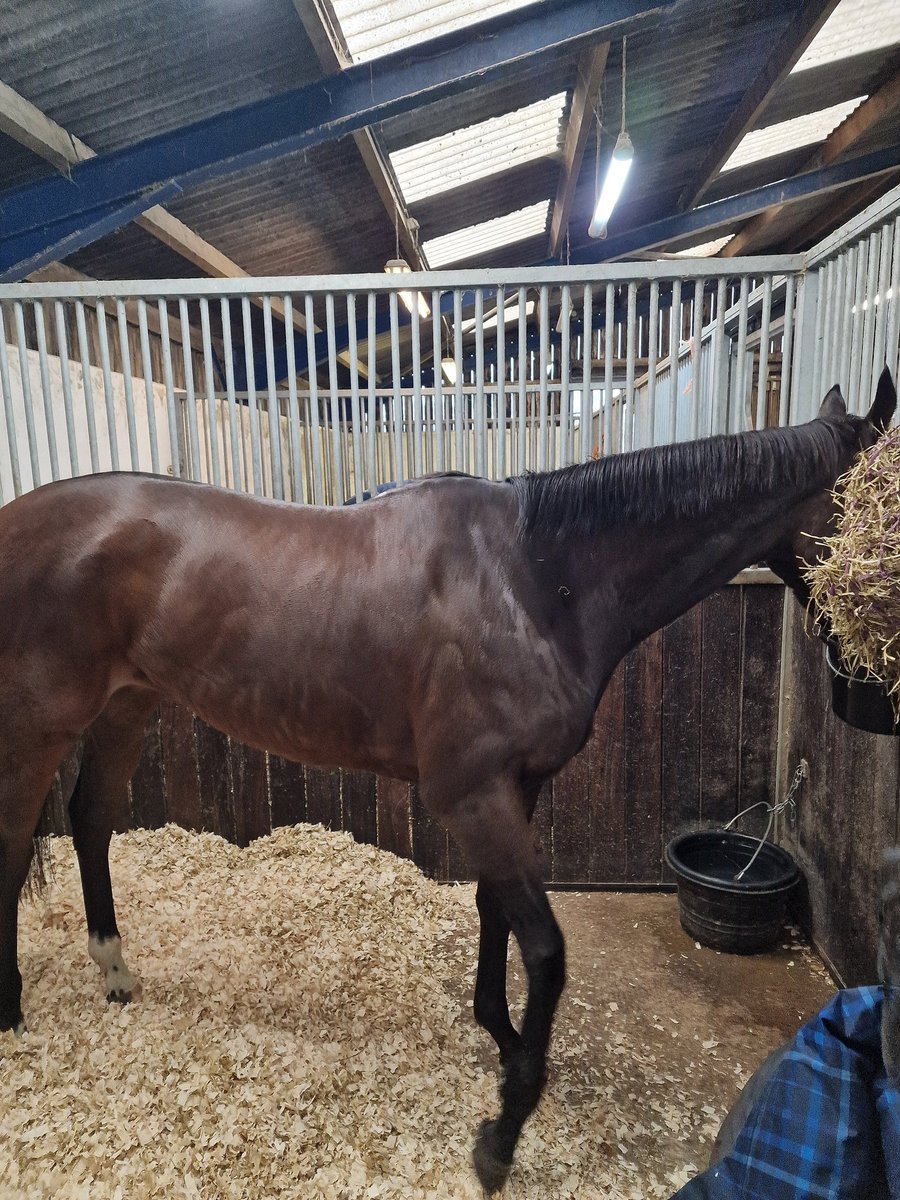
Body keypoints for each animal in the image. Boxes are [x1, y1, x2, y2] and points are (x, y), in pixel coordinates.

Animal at [1, 372, 897, 1190]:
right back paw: (11, 1007)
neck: (535, 582)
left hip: (128, 703)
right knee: (15, 845)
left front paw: (500, 1036)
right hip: (39, 723)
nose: (870, 690)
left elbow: (494, 910)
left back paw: (115, 971)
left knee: (90, 818)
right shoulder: (472, 795)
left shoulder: (514, 787)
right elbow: (547, 951)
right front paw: (501, 1136)